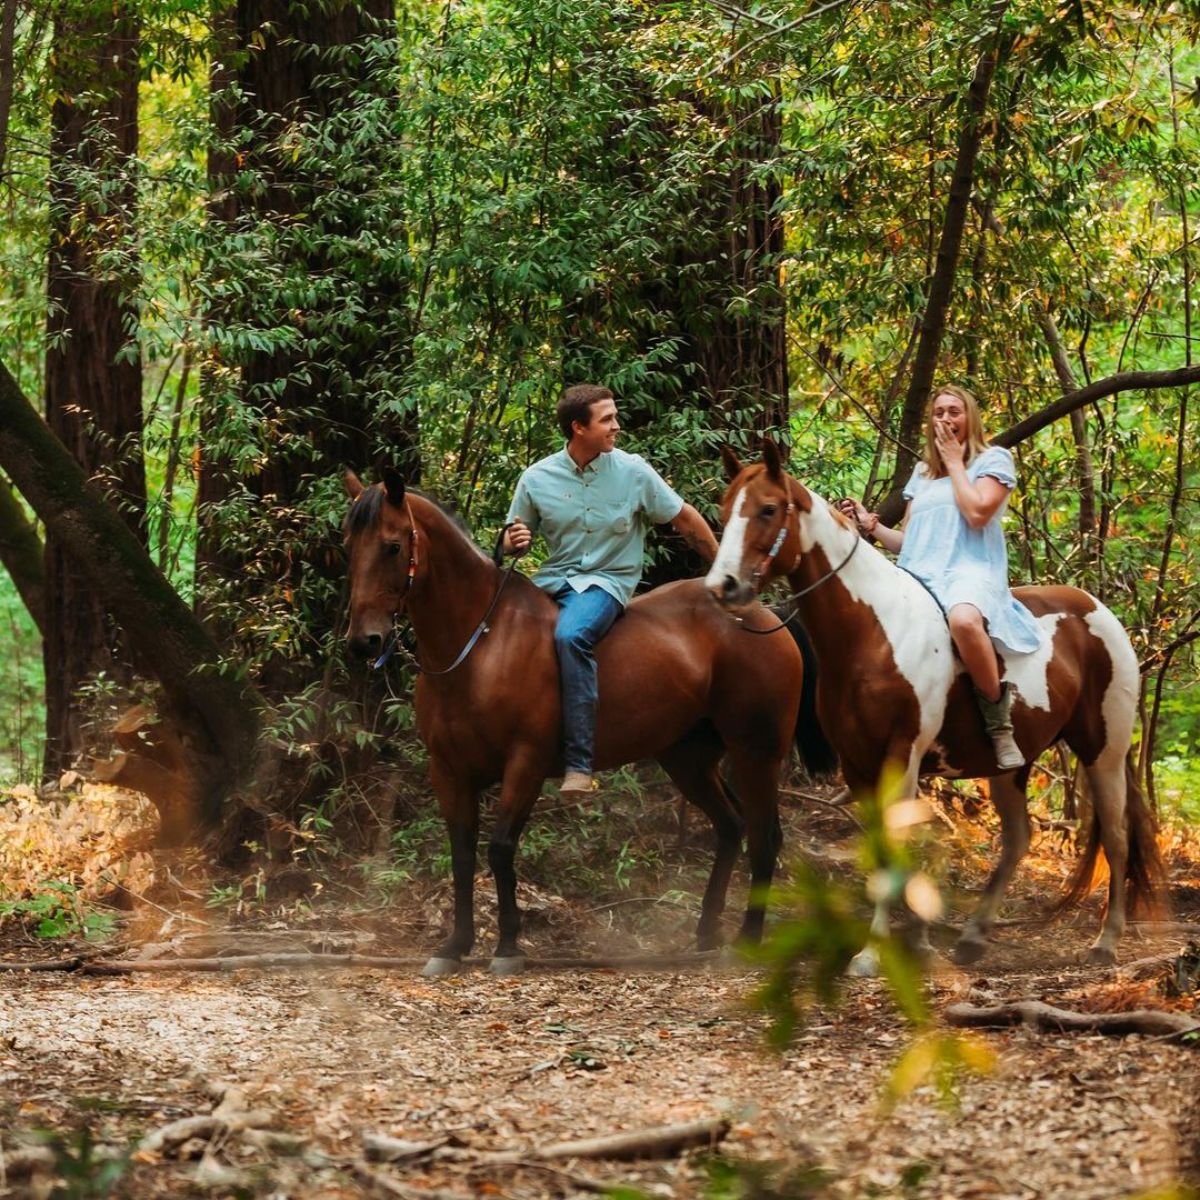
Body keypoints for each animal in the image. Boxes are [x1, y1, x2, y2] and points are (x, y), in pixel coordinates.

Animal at [348, 468, 835, 974]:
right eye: (348, 545)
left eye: (391, 546)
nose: (364, 641)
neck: (482, 644)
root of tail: (765, 616)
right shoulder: (448, 771)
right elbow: (462, 856)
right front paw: (455, 946)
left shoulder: (525, 764)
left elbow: (500, 848)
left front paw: (508, 947)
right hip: (688, 758)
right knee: (731, 827)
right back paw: (706, 933)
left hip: (756, 751)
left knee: (764, 837)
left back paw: (748, 939)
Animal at [705, 446, 1156, 969]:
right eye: (724, 510)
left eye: (768, 509)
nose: (723, 586)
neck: (874, 632)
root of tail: (1098, 611)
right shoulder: (857, 764)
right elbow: (886, 848)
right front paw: (914, 939)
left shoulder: (901, 754)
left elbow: (897, 844)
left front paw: (873, 953)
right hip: (1011, 766)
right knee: (1018, 837)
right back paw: (973, 936)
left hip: (1104, 751)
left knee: (1116, 837)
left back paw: (1106, 941)